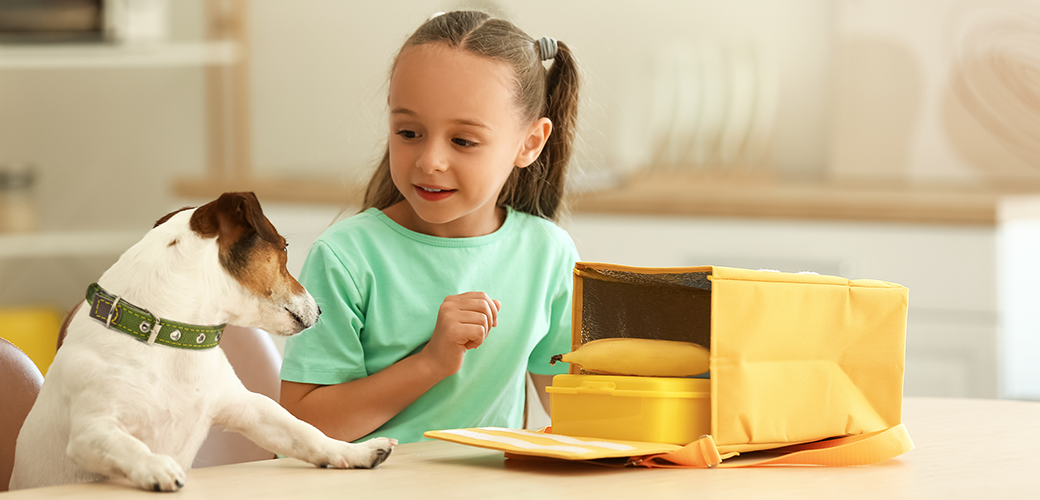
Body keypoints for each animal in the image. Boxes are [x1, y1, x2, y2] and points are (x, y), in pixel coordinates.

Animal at [11, 192, 393, 490]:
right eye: (285, 247)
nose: (321, 309)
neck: (171, 338)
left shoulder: (249, 408)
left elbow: (305, 432)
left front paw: (355, 451)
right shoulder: (91, 432)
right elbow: (131, 447)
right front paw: (156, 466)